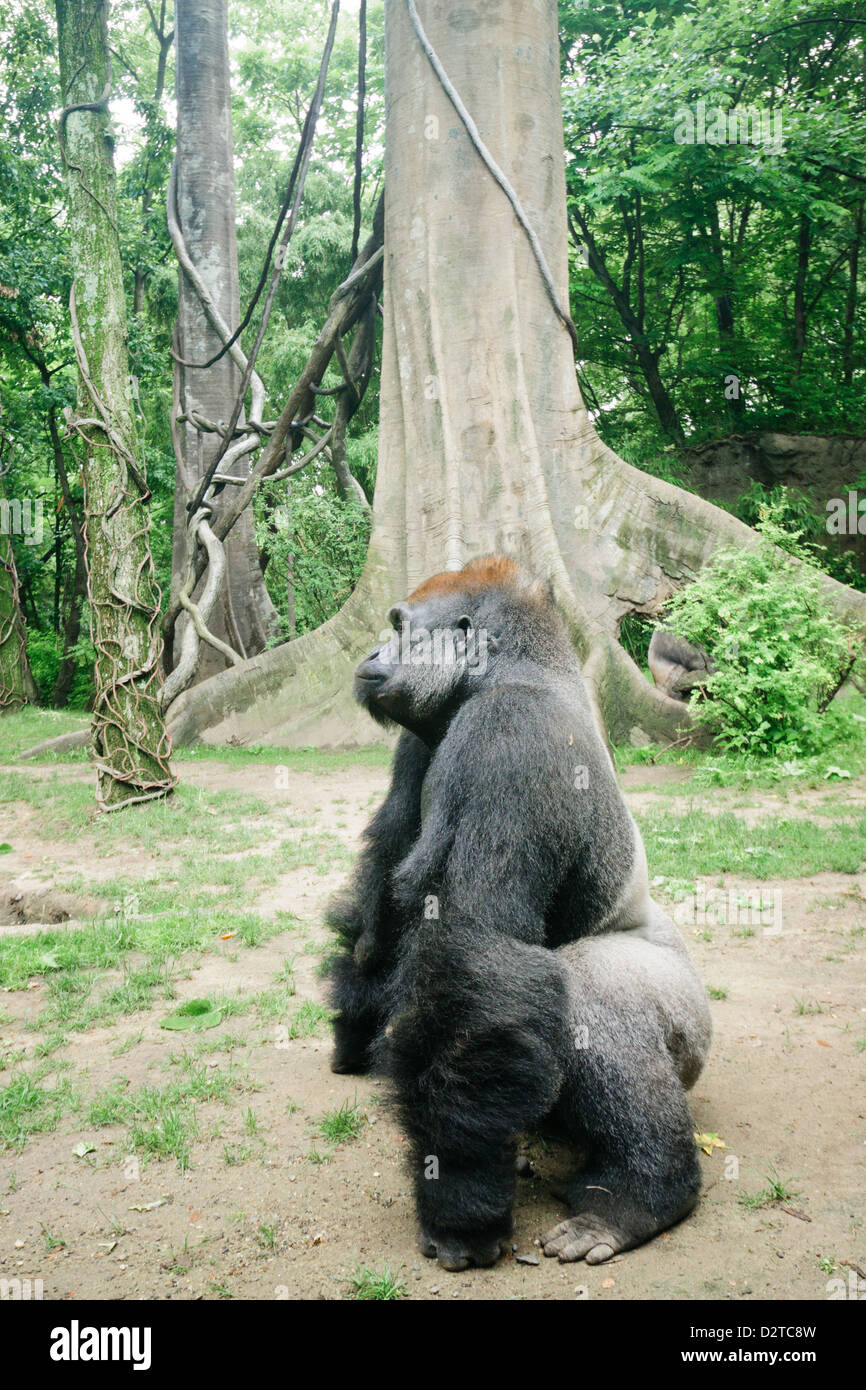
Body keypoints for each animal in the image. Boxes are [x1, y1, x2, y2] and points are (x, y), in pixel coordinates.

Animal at [327, 557, 712, 1271]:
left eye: (399, 627)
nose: (370, 654)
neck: (513, 670)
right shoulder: (424, 739)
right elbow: (382, 894)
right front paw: (353, 1022)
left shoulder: (508, 734)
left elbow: (476, 955)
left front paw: (459, 1204)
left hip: (692, 1032)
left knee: (590, 986)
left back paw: (642, 1196)